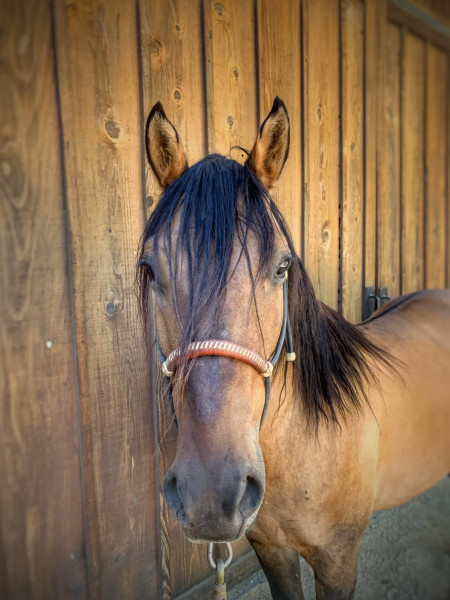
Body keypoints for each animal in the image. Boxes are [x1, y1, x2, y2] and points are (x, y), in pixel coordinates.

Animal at [138, 96, 450, 596]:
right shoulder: (272, 550)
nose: (210, 494)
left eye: (282, 267)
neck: (306, 442)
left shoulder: (338, 561)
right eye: (150, 270)